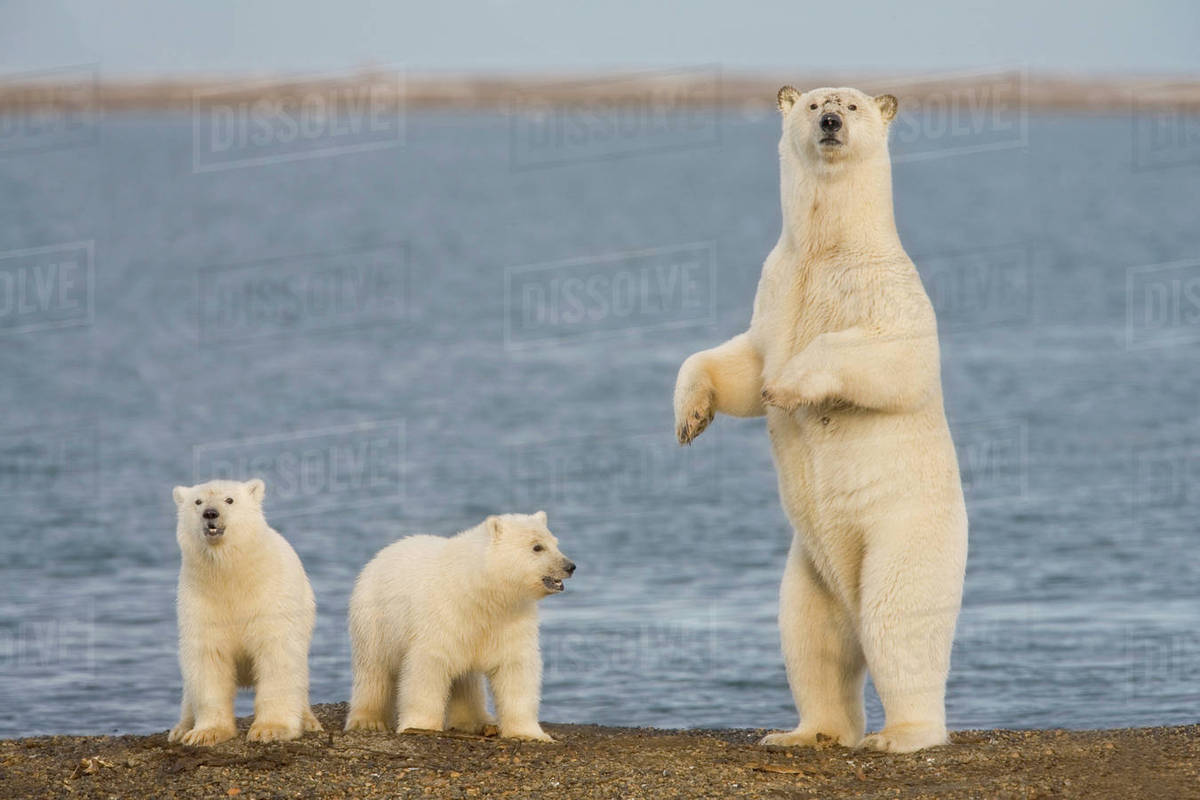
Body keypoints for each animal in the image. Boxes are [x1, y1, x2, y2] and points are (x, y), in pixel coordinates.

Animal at [167, 479, 322, 746]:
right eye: (198, 501)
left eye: (229, 500)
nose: (211, 513)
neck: (231, 575)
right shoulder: (202, 602)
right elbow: (208, 659)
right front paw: (206, 732)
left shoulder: (269, 598)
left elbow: (276, 654)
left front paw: (271, 729)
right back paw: (180, 728)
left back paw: (310, 722)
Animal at [344, 511, 574, 742]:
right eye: (537, 547)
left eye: (555, 542)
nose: (570, 566)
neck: (478, 592)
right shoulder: (442, 616)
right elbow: (429, 666)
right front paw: (421, 725)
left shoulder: (509, 619)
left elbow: (515, 667)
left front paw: (530, 733)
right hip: (375, 620)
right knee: (374, 669)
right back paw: (368, 721)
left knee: (466, 680)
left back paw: (476, 721)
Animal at [673, 86, 968, 753]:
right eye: (813, 105)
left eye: (852, 107)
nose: (831, 122)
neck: (824, 249)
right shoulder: (775, 288)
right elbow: (739, 362)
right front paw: (691, 416)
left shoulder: (888, 290)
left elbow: (895, 359)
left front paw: (788, 386)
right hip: (809, 569)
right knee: (812, 638)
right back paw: (802, 733)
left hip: (905, 537)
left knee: (897, 621)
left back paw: (900, 735)